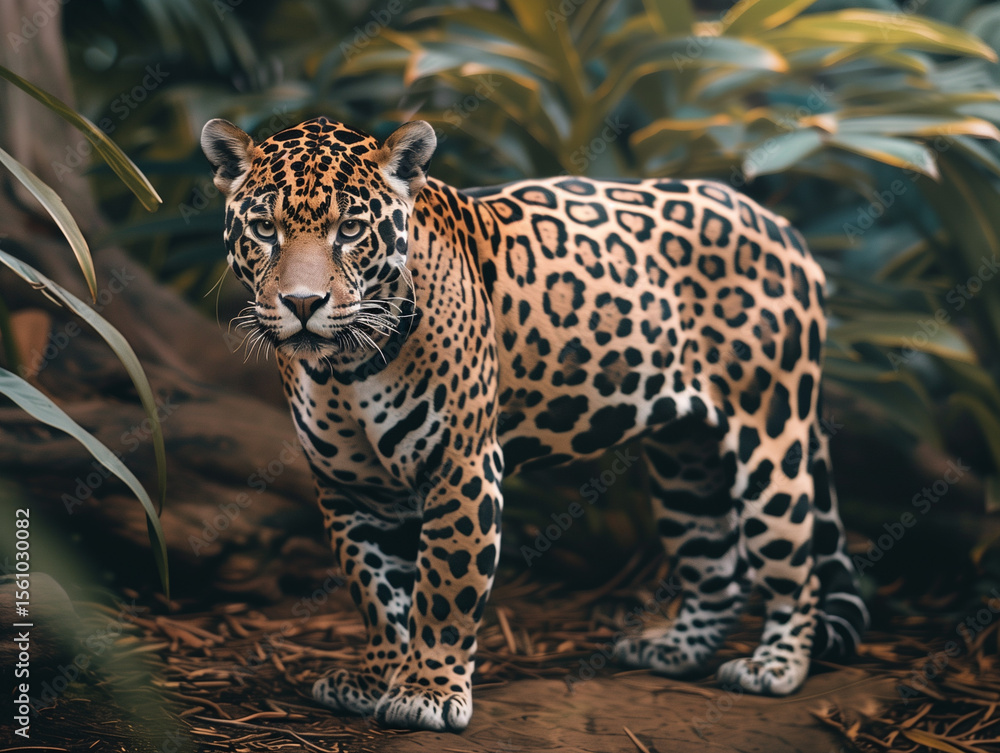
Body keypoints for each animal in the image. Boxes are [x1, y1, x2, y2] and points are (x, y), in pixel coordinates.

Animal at [201, 115, 868, 733]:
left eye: (350, 230)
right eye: (265, 230)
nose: (303, 305)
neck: (344, 366)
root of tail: (784, 228)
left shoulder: (462, 468)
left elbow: (443, 589)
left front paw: (426, 692)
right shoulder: (350, 488)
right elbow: (374, 591)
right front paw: (375, 678)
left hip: (771, 440)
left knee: (796, 568)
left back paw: (774, 666)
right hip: (688, 460)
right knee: (719, 568)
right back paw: (674, 651)